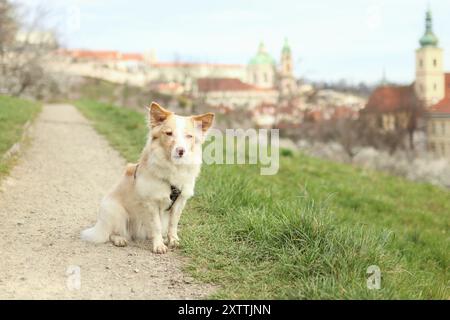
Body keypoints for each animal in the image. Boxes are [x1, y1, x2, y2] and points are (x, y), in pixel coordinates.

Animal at [81, 102, 214, 252]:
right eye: (169, 133)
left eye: (189, 136)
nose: (181, 151)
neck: (173, 167)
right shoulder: (151, 203)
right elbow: (156, 226)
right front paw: (159, 245)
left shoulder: (180, 202)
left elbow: (173, 224)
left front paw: (173, 240)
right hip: (115, 211)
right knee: (112, 233)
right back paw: (120, 239)